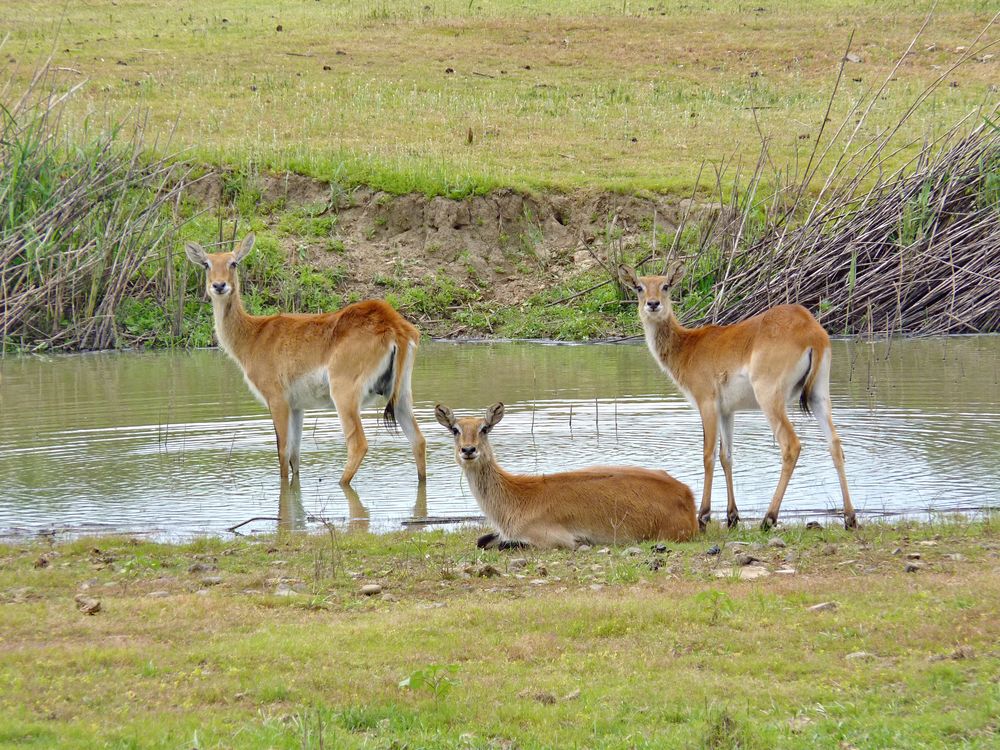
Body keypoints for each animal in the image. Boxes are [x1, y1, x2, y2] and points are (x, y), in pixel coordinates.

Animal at [188, 232, 426, 484]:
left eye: (233, 262)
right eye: (206, 264)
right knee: (418, 441)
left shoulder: (277, 400)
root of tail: (391, 323)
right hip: (401, 396)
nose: (219, 285)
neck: (254, 335)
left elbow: (283, 453)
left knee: (358, 445)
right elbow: (295, 455)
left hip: (344, 395)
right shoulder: (297, 407)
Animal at [434, 402, 700, 548]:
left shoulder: (554, 539)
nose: (469, 450)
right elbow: (482, 541)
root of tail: (686, 494)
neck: (517, 498)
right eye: (455, 429)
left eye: (485, 428)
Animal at [620, 262, 856, 532]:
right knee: (835, 444)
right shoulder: (727, 411)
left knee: (791, 445)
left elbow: (708, 455)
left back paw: (768, 518)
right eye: (639, 287)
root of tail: (810, 330)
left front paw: (703, 516)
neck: (688, 347)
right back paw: (850, 518)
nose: (653, 304)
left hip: (769, 398)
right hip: (818, 395)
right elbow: (727, 457)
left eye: (666, 285)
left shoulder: (707, 404)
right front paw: (732, 516)